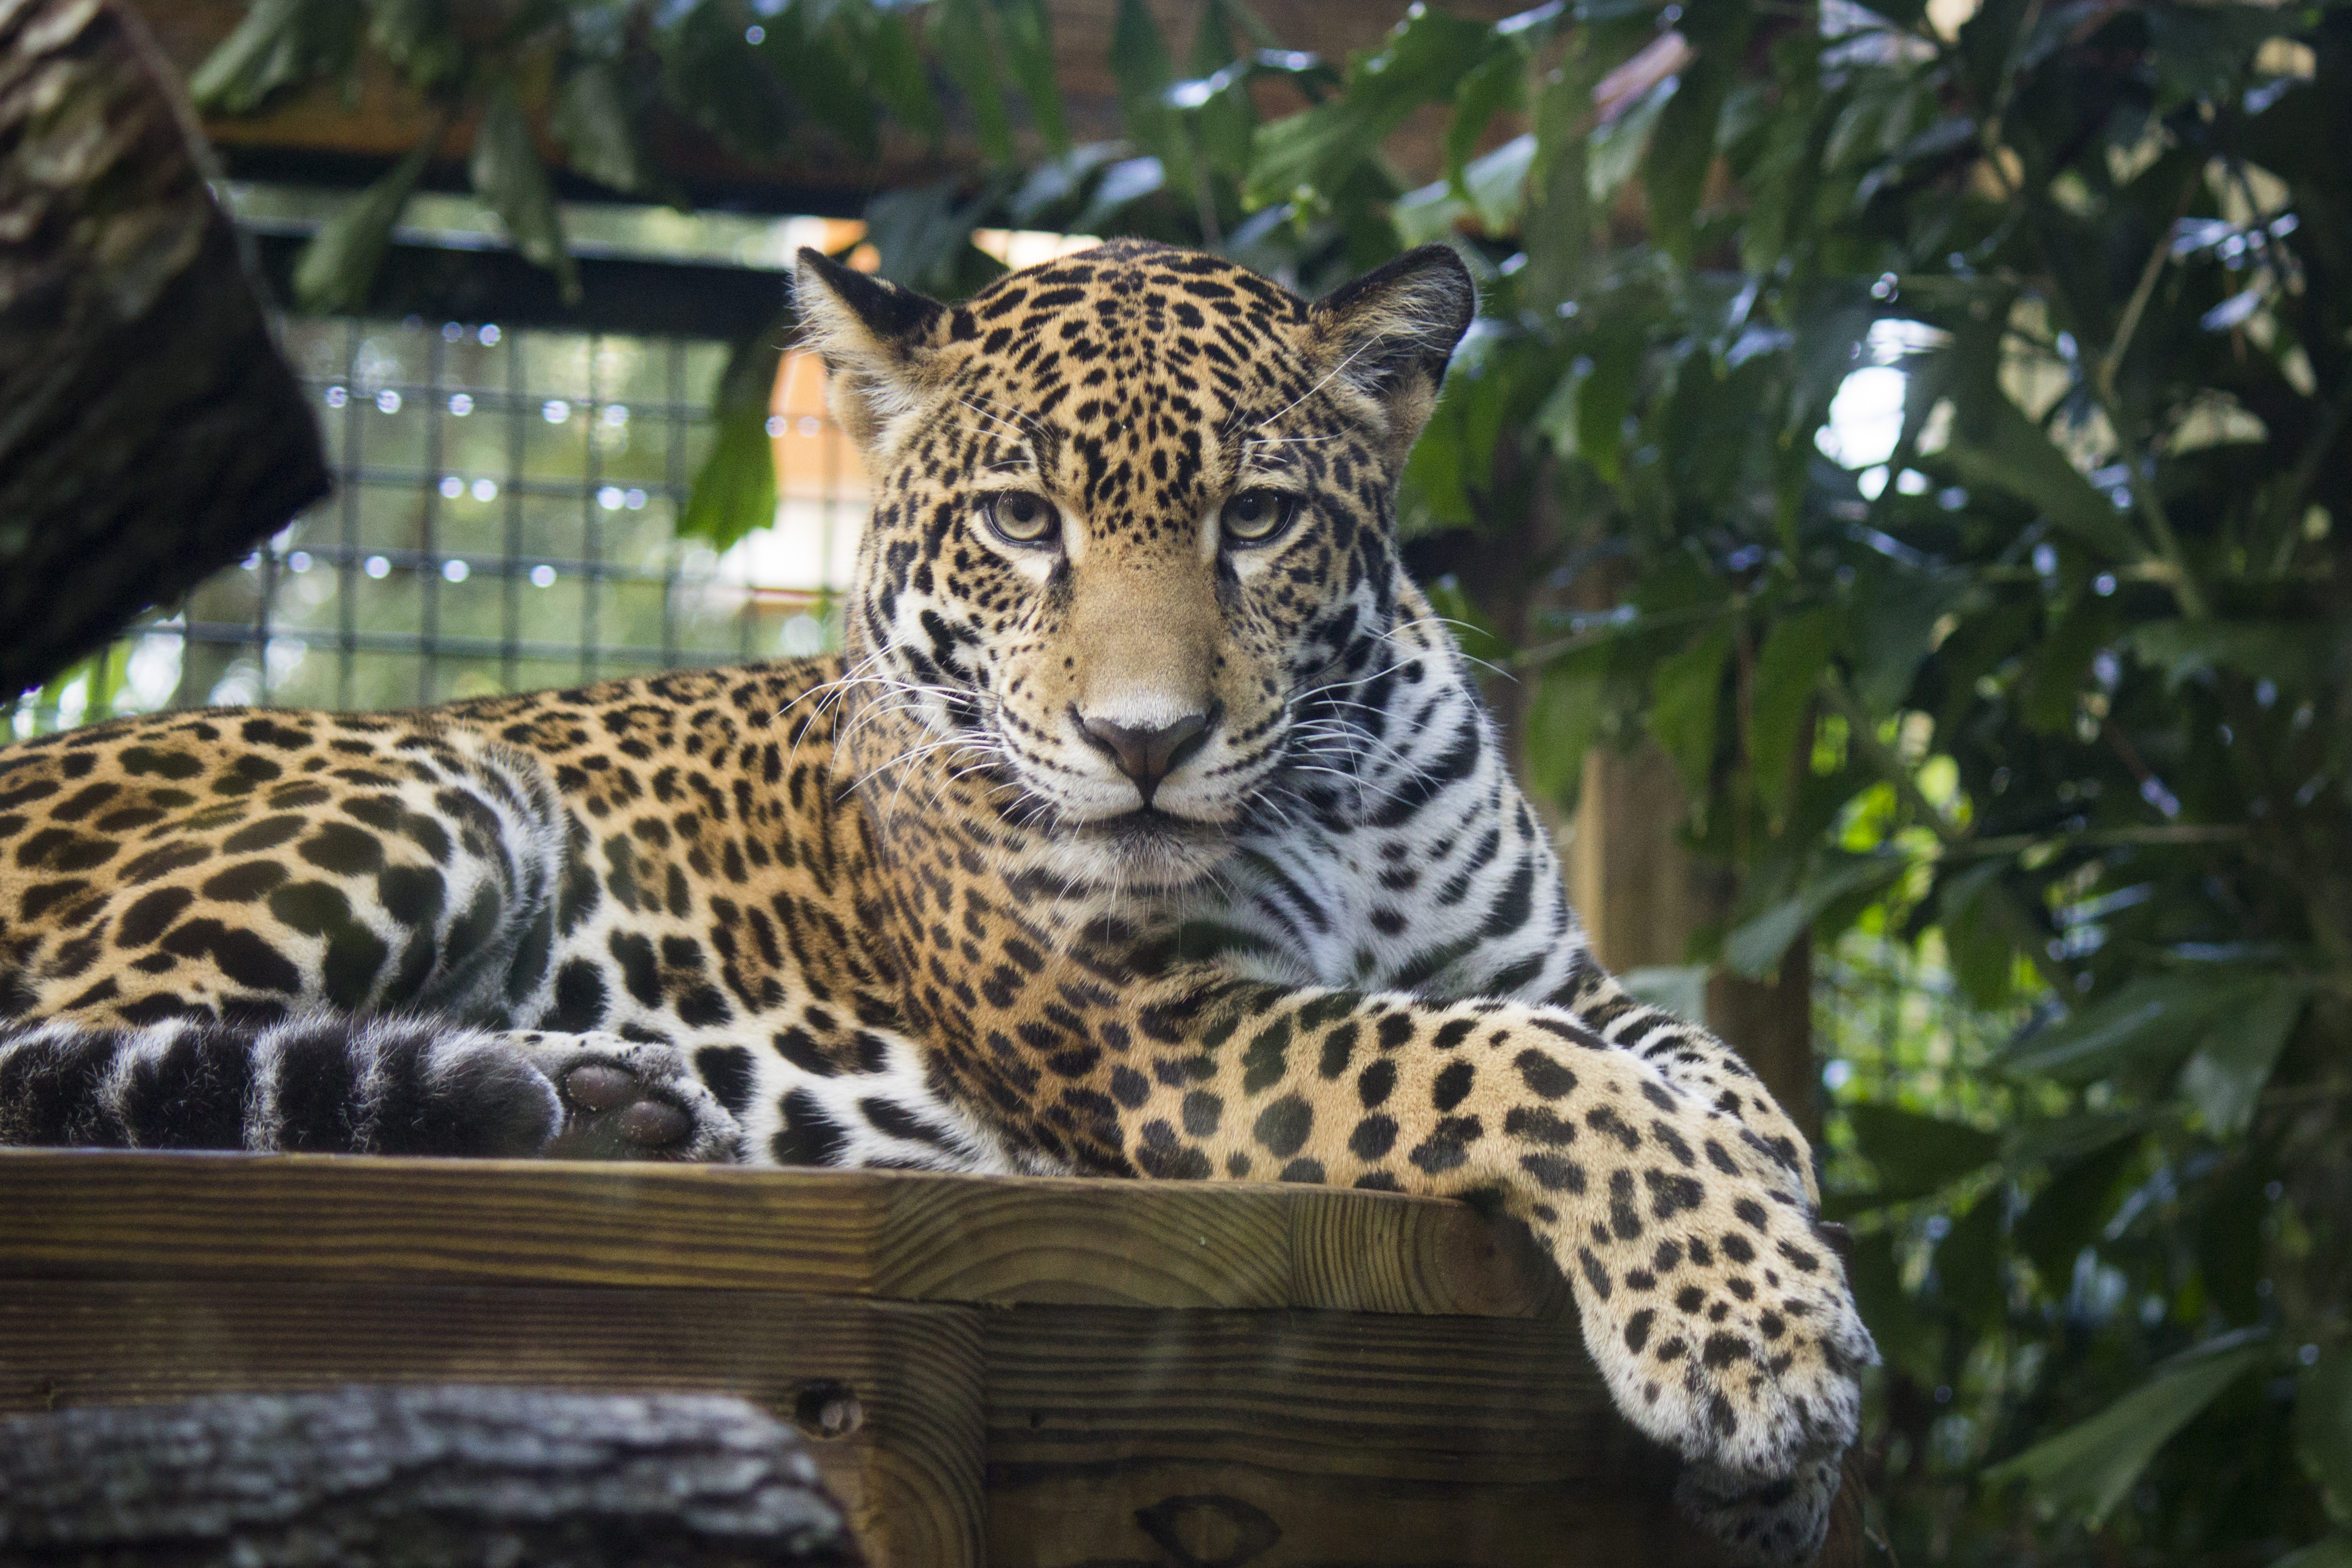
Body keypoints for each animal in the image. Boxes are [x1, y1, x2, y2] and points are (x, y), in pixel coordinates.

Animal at [0, 239, 1875, 1564]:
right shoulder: (1163, 1035)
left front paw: (1776, 1326)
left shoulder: (1552, 966)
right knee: (97, 1074)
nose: (1143, 742)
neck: (1335, 811)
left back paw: (601, 1108)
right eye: (1021, 519)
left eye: (1259, 516)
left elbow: (1710, 1078)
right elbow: (1512, 1071)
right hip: (448, 782)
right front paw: (1752, 1339)